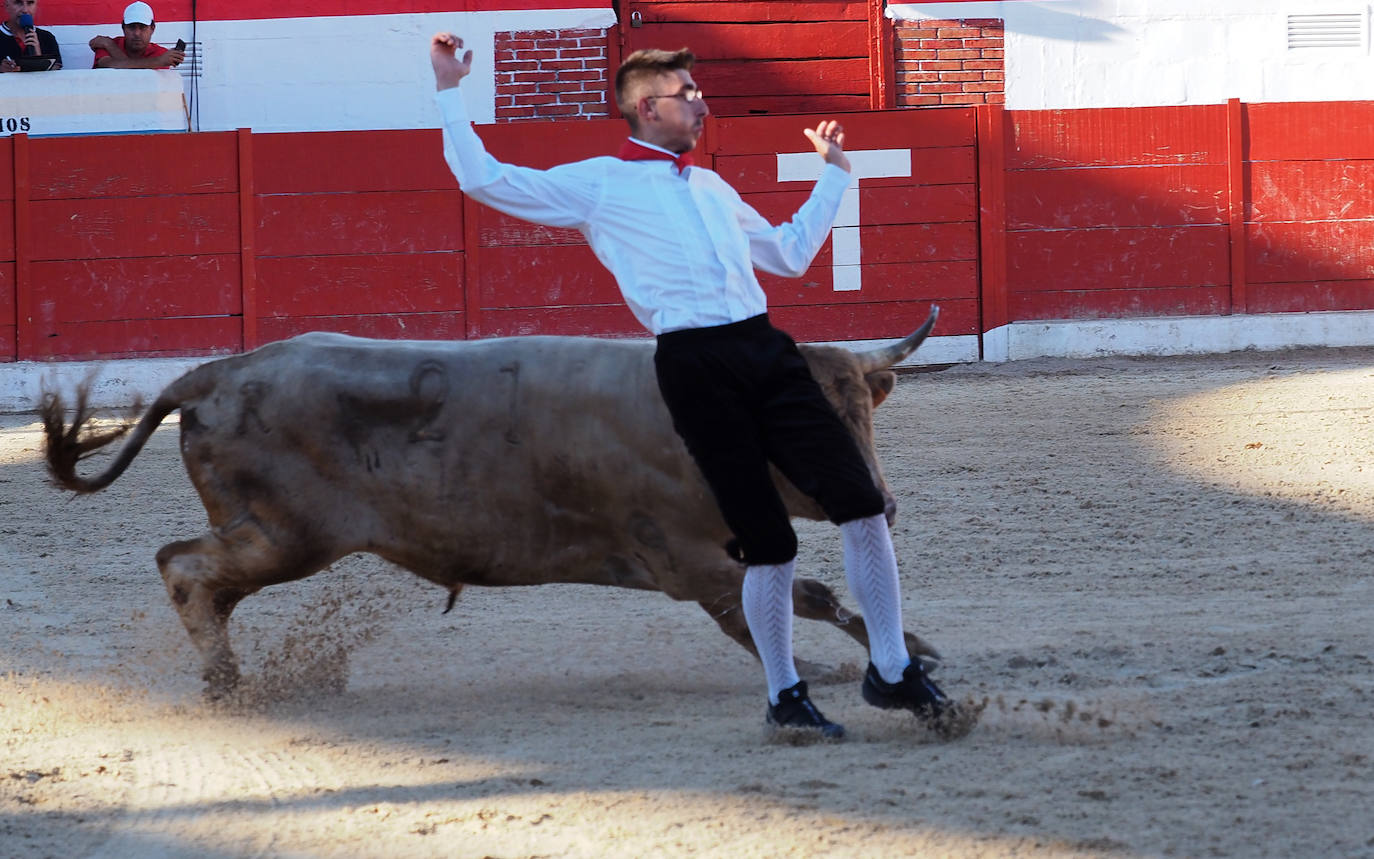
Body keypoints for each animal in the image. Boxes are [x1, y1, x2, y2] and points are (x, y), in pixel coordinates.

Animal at [45, 307, 945, 698]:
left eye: (865, 410)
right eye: (798, 422)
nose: (883, 501)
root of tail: (214, 372)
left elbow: (796, 600)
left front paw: (896, 653)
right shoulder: (690, 562)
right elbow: (792, 602)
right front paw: (874, 659)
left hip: (273, 534)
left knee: (198, 574)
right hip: (285, 534)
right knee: (185, 567)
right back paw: (229, 681)